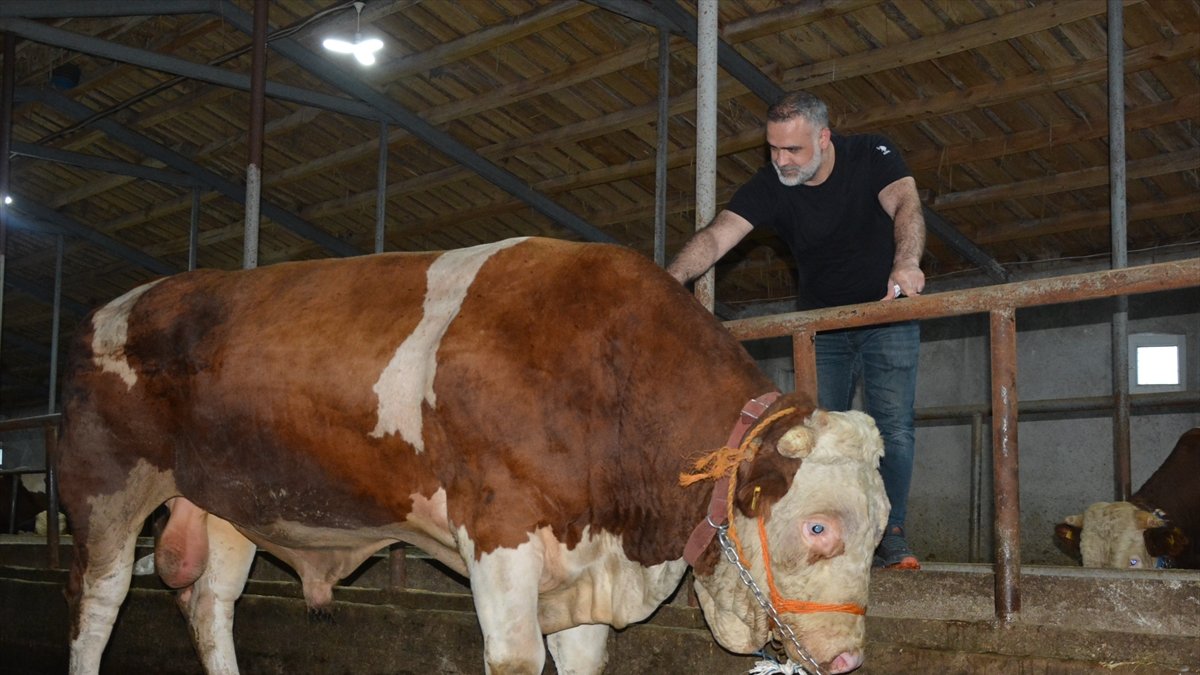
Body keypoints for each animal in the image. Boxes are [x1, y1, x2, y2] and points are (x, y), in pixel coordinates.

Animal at [58, 236, 892, 672]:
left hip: (229, 504)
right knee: (97, 604)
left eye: (882, 532)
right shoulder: (500, 530)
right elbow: (516, 657)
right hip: (104, 492)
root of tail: (110, 309)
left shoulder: (581, 565)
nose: (850, 659)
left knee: (211, 603)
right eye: (819, 527)